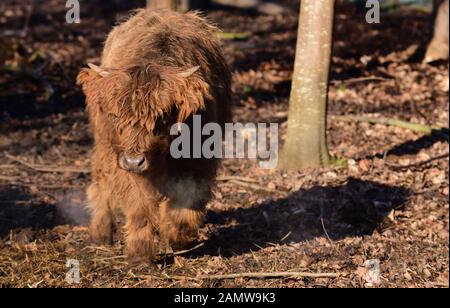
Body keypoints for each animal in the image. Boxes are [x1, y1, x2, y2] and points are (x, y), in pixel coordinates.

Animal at [76, 9, 230, 262]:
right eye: (116, 116)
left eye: (162, 117)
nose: (134, 161)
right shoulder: (125, 165)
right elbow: (138, 206)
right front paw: (140, 254)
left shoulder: (199, 159)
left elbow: (187, 199)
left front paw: (178, 237)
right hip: (105, 145)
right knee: (102, 179)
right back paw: (101, 231)